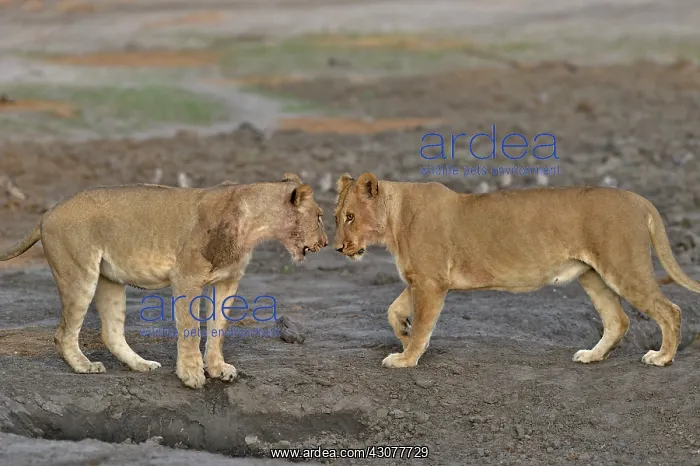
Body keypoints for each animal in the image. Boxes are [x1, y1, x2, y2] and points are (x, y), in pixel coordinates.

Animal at [0, 173, 328, 389]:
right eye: (321, 216)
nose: (325, 243)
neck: (255, 225)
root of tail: (46, 214)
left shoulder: (228, 281)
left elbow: (218, 329)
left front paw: (218, 369)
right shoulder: (186, 278)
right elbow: (191, 329)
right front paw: (192, 374)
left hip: (108, 279)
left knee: (111, 332)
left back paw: (140, 365)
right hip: (79, 273)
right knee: (63, 332)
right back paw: (84, 366)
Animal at [333, 172, 700, 369]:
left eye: (350, 217)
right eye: (336, 217)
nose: (337, 247)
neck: (393, 220)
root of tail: (639, 199)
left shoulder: (430, 283)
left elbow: (423, 324)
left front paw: (406, 358)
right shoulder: (418, 280)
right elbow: (393, 310)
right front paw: (404, 333)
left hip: (623, 266)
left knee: (670, 309)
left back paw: (663, 357)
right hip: (592, 275)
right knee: (618, 320)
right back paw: (592, 356)